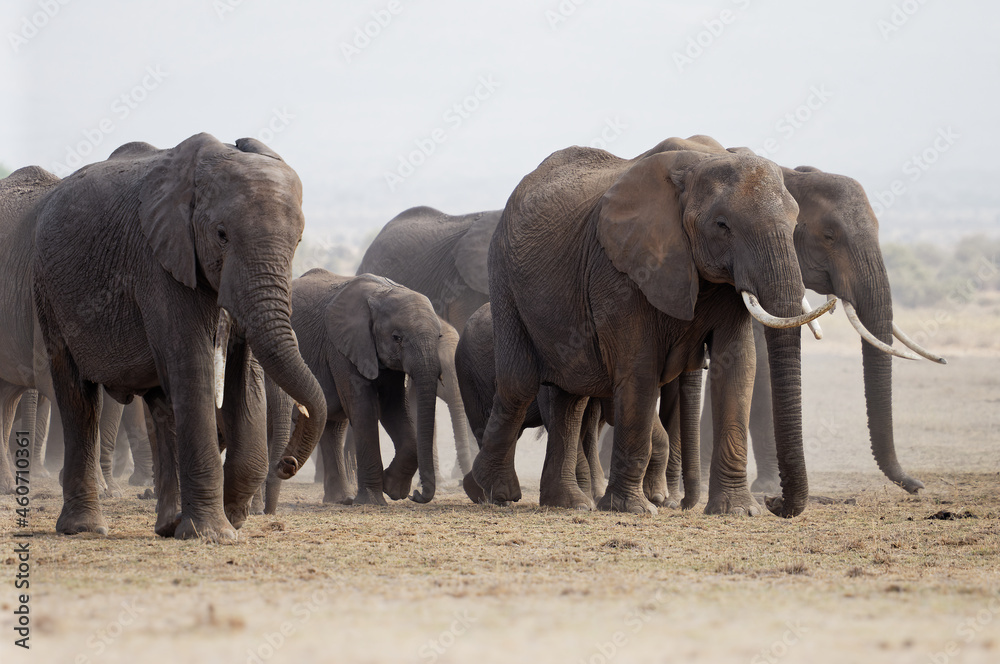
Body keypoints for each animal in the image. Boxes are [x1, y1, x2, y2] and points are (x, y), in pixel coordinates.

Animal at [31, 134, 326, 540]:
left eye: (297, 242)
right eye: (221, 235)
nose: (289, 462)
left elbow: (244, 377)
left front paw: (232, 517)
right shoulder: (160, 263)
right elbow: (193, 362)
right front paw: (214, 535)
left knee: (162, 404)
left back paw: (169, 525)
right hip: (48, 291)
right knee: (78, 396)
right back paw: (85, 528)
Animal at [266, 270, 442, 508]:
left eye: (440, 337)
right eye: (397, 338)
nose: (416, 494)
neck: (383, 292)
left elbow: (393, 408)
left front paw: (393, 489)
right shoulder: (341, 347)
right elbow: (364, 409)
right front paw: (374, 502)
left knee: (332, 428)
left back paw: (340, 499)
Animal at [468, 137, 836, 516]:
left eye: (794, 222)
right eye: (722, 225)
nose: (776, 502)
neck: (698, 163)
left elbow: (738, 367)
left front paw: (737, 511)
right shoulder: (619, 268)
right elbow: (639, 367)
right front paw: (633, 509)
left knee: (568, 397)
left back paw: (568, 503)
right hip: (504, 278)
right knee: (520, 382)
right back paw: (490, 491)